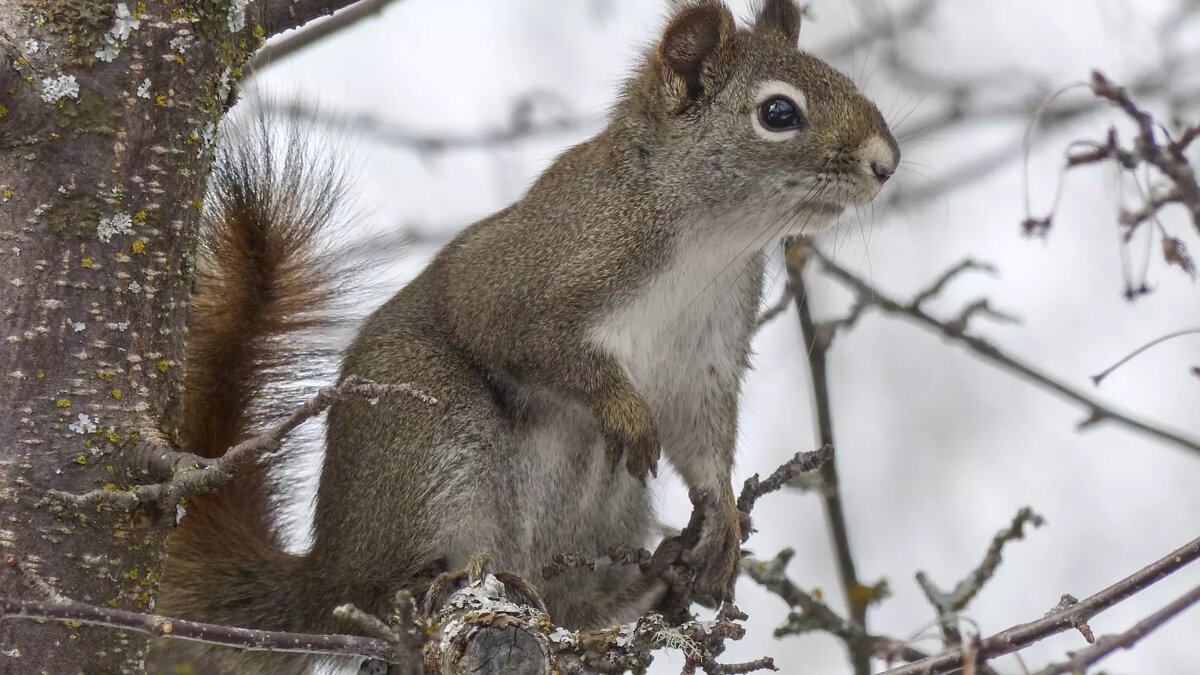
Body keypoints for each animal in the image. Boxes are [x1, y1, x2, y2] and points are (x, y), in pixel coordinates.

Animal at [152, 2, 902, 667]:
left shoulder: (708, 352)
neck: (711, 238)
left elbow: (702, 431)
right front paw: (623, 407)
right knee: (392, 584)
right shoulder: (528, 277)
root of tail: (325, 572)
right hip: (431, 442)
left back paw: (647, 585)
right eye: (779, 113)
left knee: (571, 606)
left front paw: (722, 517)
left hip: (607, 507)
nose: (886, 162)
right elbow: (532, 343)